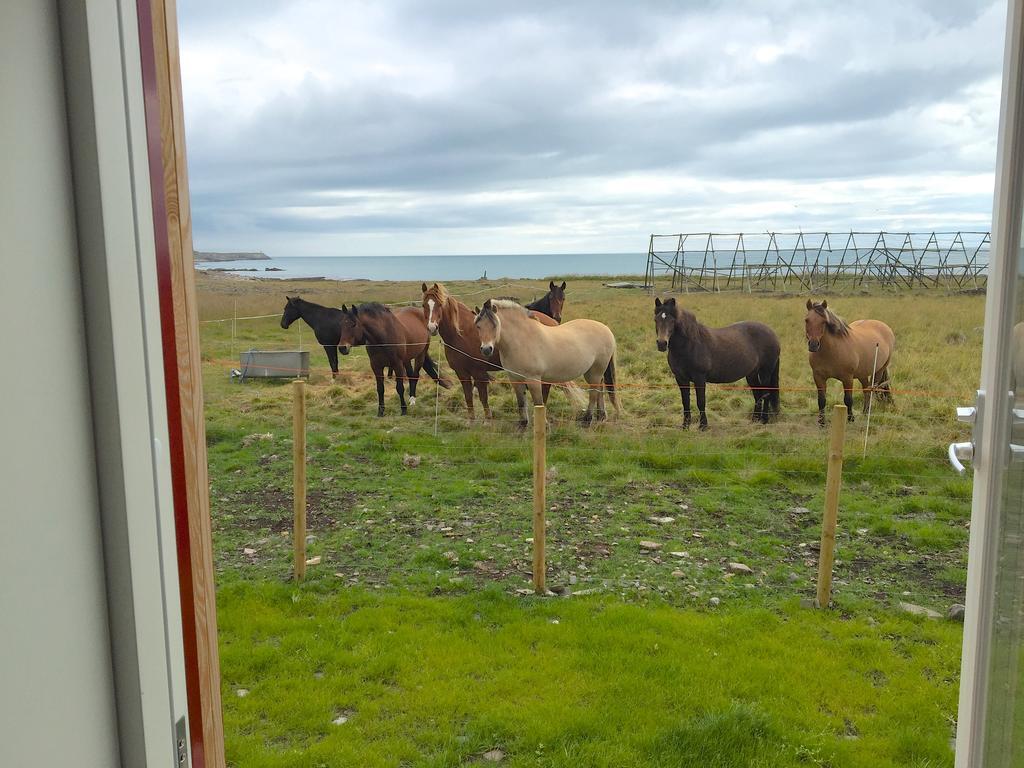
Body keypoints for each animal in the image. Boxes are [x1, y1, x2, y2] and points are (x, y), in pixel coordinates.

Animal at [471, 299, 614, 428]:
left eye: (495, 325)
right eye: (478, 326)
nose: (486, 349)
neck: (521, 340)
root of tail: (606, 329)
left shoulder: (533, 380)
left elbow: (538, 403)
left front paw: (543, 425)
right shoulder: (515, 379)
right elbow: (521, 403)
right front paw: (523, 424)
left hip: (595, 371)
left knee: (594, 392)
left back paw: (587, 420)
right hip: (593, 372)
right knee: (600, 388)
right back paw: (601, 417)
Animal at [651, 299, 778, 434]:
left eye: (672, 321)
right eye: (656, 320)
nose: (662, 343)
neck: (690, 344)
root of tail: (773, 333)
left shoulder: (699, 378)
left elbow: (701, 401)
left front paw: (703, 426)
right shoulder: (681, 378)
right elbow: (685, 402)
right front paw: (685, 426)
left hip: (765, 372)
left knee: (766, 393)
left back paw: (764, 420)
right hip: (751, 374)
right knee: (758, 394)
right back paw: (755, 420)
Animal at [802, 299, 892, 428]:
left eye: (824, 321)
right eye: (807, 320)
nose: (813, 345)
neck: (832, 351)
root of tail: (885, 327)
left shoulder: (847, 378)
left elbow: (848, 399)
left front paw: (850, 419)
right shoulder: (818, 377)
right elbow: (821, 400)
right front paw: (822, 422)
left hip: (878, 371)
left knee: (871, 389)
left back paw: (867, 412)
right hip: (862, 374)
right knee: (866, 390)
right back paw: (865, 412)